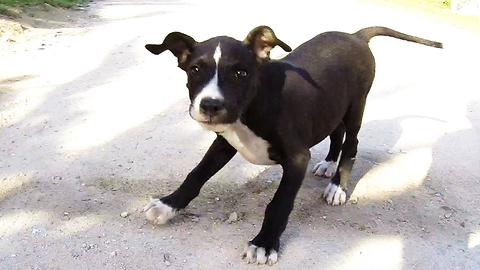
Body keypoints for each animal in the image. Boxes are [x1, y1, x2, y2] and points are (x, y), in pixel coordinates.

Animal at [142, 25, 442, 264]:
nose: (210, 106)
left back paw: (337, 186)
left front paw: (264, 243)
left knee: (352, 142)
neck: (253, 106)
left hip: (356, 105)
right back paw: (328, 164)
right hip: (330, 107)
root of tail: (356, 36)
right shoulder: (224, 142)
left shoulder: (297, 158)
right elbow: (196, 174)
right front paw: (168, 204)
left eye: (241, 72)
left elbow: (279, 203)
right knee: (336, 132)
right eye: (195, 69)